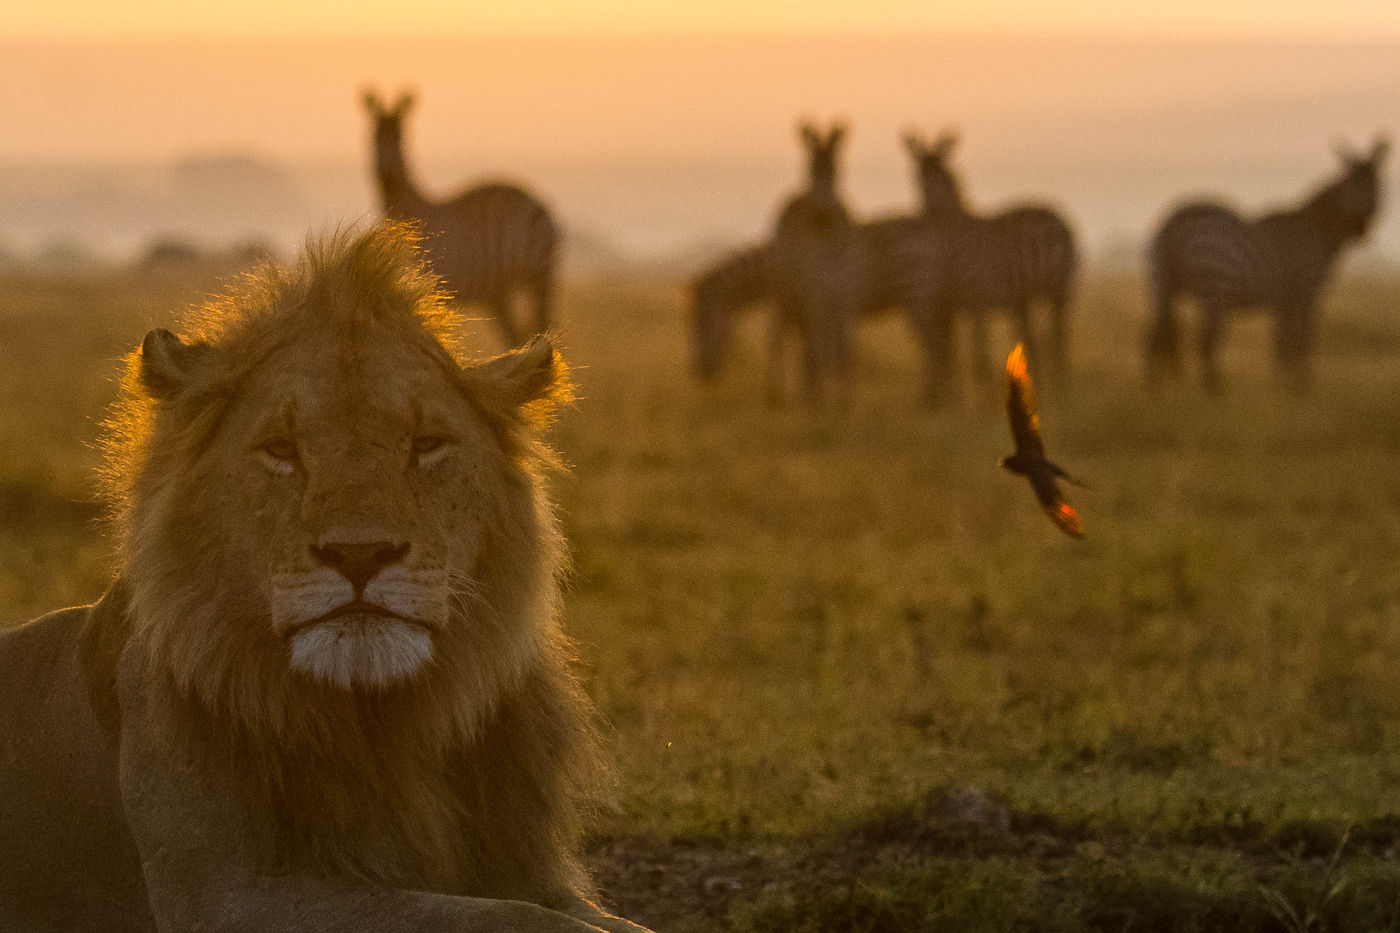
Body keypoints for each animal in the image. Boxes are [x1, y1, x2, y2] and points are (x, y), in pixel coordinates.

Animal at [0, 225, 649, 930]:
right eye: (281, 450)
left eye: (426, 444)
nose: (360, 553)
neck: (384, 724)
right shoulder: (221, 895)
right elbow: (497, 915)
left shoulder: (534, 870)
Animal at [361, 91, 557, 347]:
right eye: (372, 137)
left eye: (402, 139)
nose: (387, 178)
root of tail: (535, 198)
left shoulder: (436, 286)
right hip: (499, 292)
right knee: (516, 335)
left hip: (541, 277)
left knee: (543, 324)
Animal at [761, 119, 868, 400]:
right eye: (809, 168)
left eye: (836, 167)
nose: (820, 209)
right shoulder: (822, 292)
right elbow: (823, 345)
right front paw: (820, 393)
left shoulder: (841, 294)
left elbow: (838, 347)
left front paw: (840, 396)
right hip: (791, 292)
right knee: (784, 336)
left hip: (802, 296)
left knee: (809, 339)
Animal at [901, 128, 1075, 383]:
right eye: (915, 178)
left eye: (941, 177)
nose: (928, 213)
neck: (954, 245)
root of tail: (1055, 212)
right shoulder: (953, 306)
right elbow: (953, 357)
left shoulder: (979, 301)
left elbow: (979, 358)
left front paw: (983, 393)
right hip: (1021, 299)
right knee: (1033, 341)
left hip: (1059, 289)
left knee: (1059, 341)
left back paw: (1062, 387)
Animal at [1148, 136, 1388, 389]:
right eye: (1354, 187)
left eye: (1377, 186)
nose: (1363, 230)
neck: (1318, 230)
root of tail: (1175, 221)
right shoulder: (1307, 291)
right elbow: (1303, 338)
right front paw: (1302, 386)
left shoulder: (1285, 298)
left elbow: (1282, 342)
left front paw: (1282, 384)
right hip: (1216, 284)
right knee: (1205, 340)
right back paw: (1215, 389)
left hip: (1162, 283)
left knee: (1155, 334)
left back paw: (1156, 387)